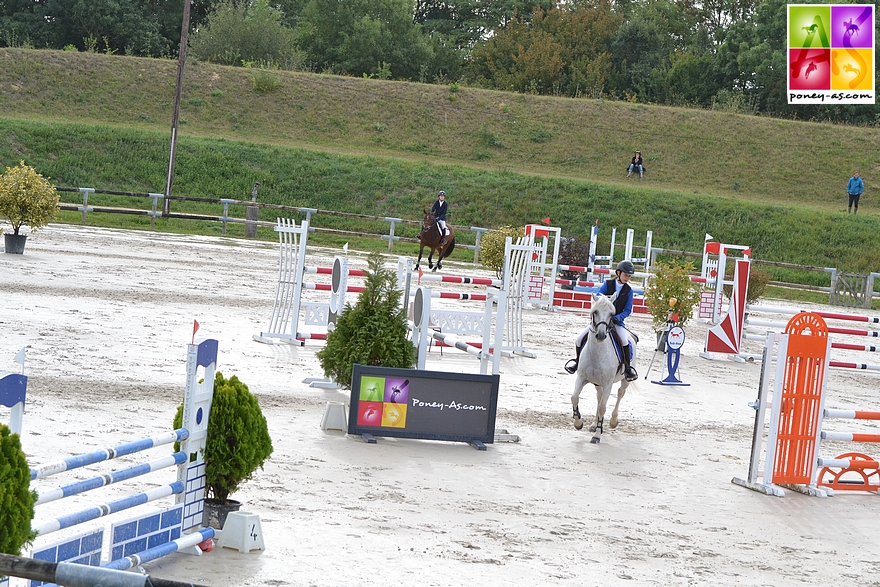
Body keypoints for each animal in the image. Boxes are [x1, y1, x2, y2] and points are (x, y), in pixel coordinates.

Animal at [576, 296, 636, 444]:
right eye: (595, 311)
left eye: (611, 314)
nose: (601, 335)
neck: (597, 352)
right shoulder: (581, 377)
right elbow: (574, 398)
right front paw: (578, 423)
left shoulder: (608, 384)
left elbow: (603, 407)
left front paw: (597, 435)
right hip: (598, 383)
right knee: (599, 398)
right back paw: (594, 424)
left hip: (624, 381)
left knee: (620, 394)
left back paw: (613, 421)